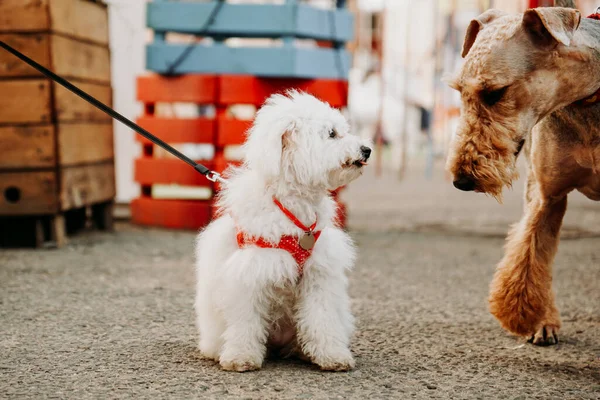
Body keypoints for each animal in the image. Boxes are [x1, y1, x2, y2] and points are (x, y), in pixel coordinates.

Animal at [195, 90, 370, 372]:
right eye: (332, 133)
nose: (367, 149)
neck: (294, 209)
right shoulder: (250, 273)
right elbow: (245, 322)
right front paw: (241, 357)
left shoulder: (318, 275)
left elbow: (322, 319)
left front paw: (332, 355)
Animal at [446, 0, 600, 344]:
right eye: (459, 91)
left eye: (494, 92)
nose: (461, 181)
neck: (587, 100)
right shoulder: (547, 195)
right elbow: (529, 252)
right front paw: (527, 316)